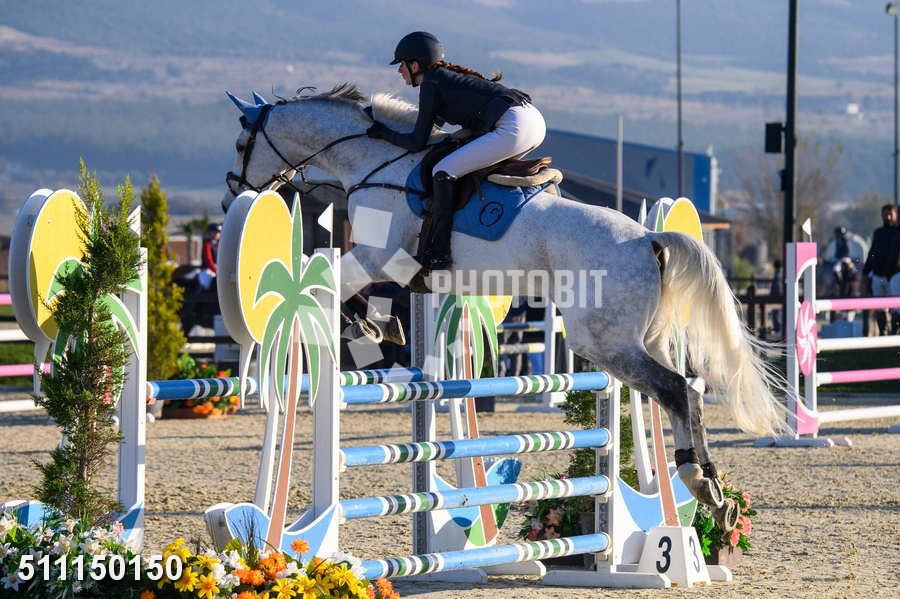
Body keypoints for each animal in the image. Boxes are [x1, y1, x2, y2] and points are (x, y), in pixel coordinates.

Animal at [221, 83, 787, 531]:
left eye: (242, 142)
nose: (233, 194)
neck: (374, 161)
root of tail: (647, 238)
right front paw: (382, 325)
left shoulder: (381, 257)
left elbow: (333, 280)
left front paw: (368, 324)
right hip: (642, 337)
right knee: (687, 390)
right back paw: (712, 491)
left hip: (603, 340)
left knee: (672, 389)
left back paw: (699, 481)